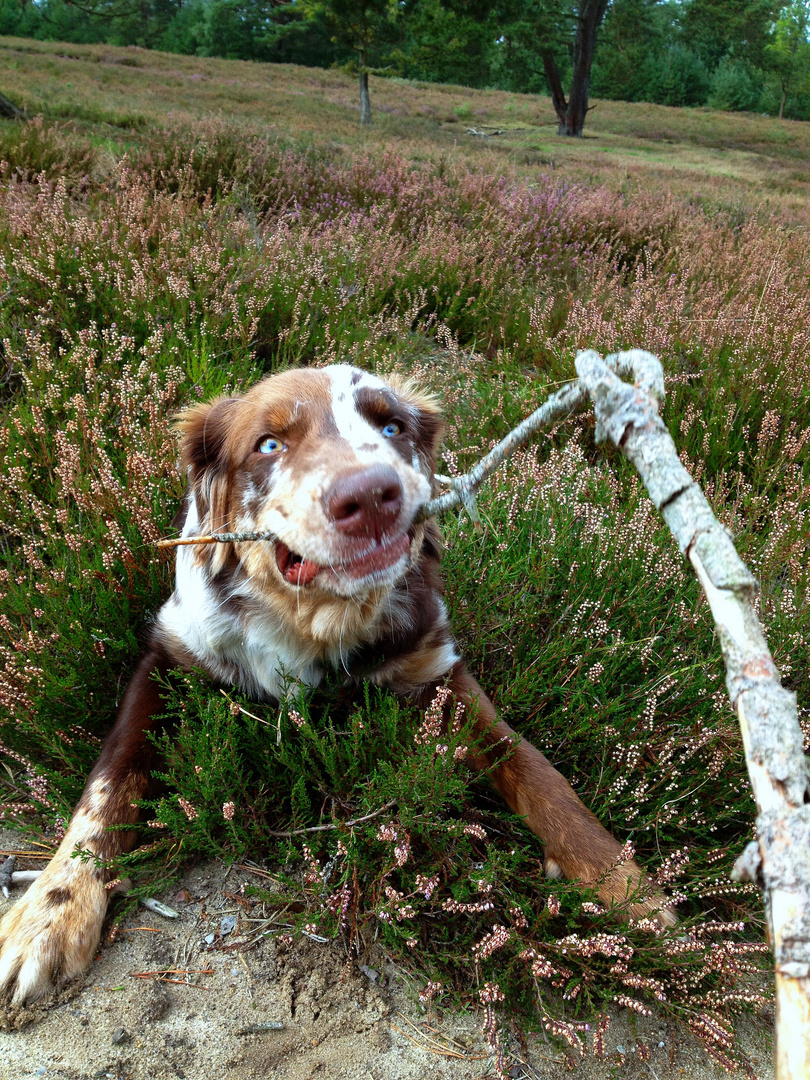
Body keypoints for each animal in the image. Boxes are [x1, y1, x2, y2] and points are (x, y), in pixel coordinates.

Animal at [0, 367, 673, 1006]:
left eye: (391, 427)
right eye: (269, 444)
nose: (372, 495)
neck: (314, 620)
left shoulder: (436, 665)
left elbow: (535, 768)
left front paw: (623, 882)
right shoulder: (167, 657)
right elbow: (107, 789)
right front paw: (51, 912)